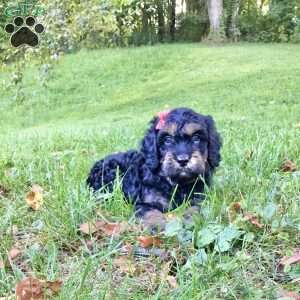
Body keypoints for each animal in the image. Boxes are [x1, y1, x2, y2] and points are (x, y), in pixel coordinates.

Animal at [85, 109, 221, 229]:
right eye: (167, 139)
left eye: (196, 138)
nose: (183, 160)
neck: (176, 182)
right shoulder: (145, 201)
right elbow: (149, 211)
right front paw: (156, 225)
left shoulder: (200, 195)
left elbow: (196, 206)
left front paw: (191, 219)